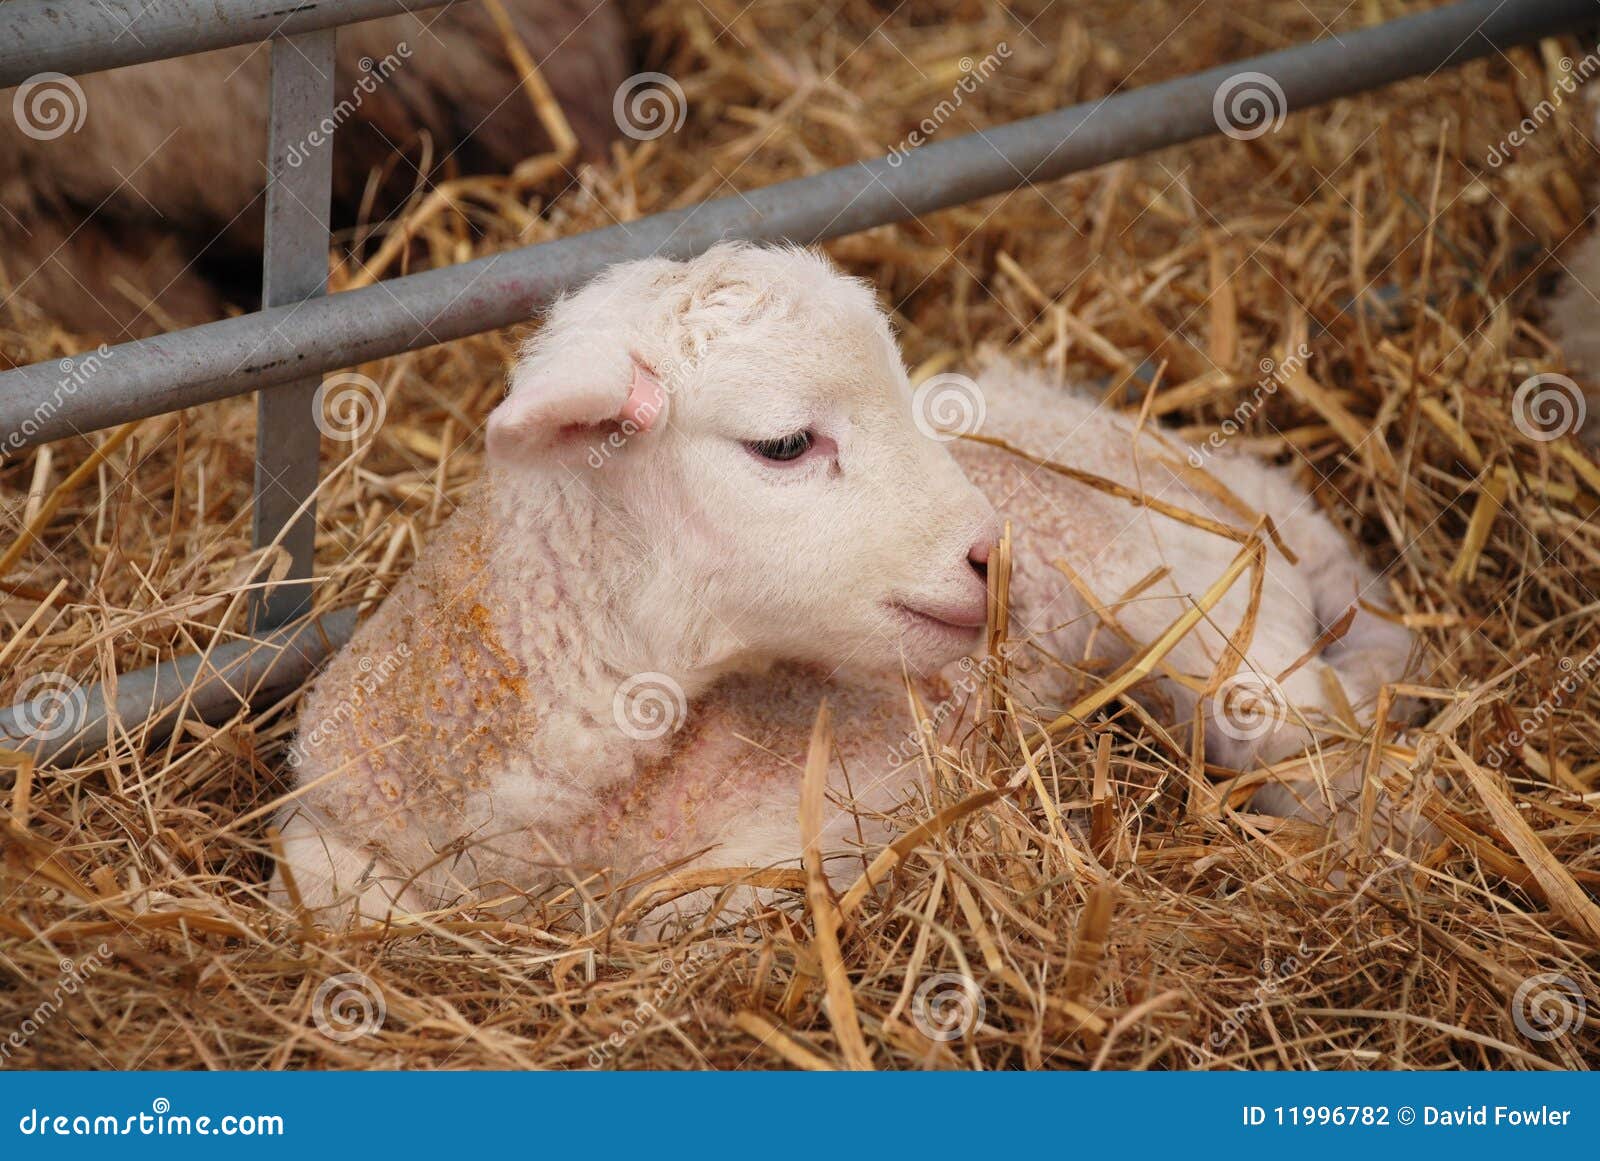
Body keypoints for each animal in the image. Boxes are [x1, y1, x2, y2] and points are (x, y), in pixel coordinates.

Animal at [273, 243, 1417, 924]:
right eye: (784, 442)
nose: (994, 555)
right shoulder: (322, 821)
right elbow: (333, 899)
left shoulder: (849, 801)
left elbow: (675, 911)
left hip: (1226, 629)